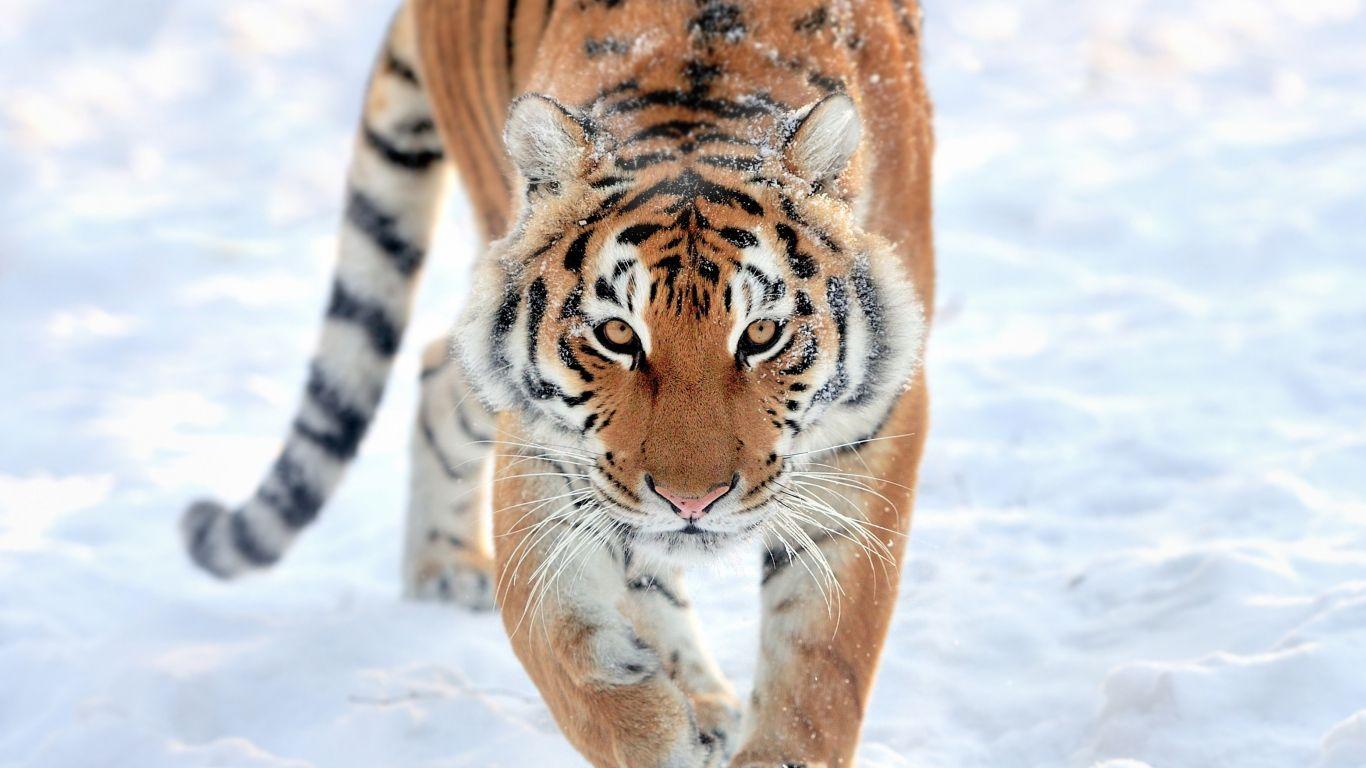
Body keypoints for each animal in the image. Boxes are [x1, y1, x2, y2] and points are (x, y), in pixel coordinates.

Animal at [181, 0, 933, 765]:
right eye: (618, 335)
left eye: (760, 335)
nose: (692, 502)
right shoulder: (545, 451)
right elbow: (570, 654)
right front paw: (662, 735)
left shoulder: (875, 431)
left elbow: (819, 669)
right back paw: (449, 571)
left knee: (437, 367)